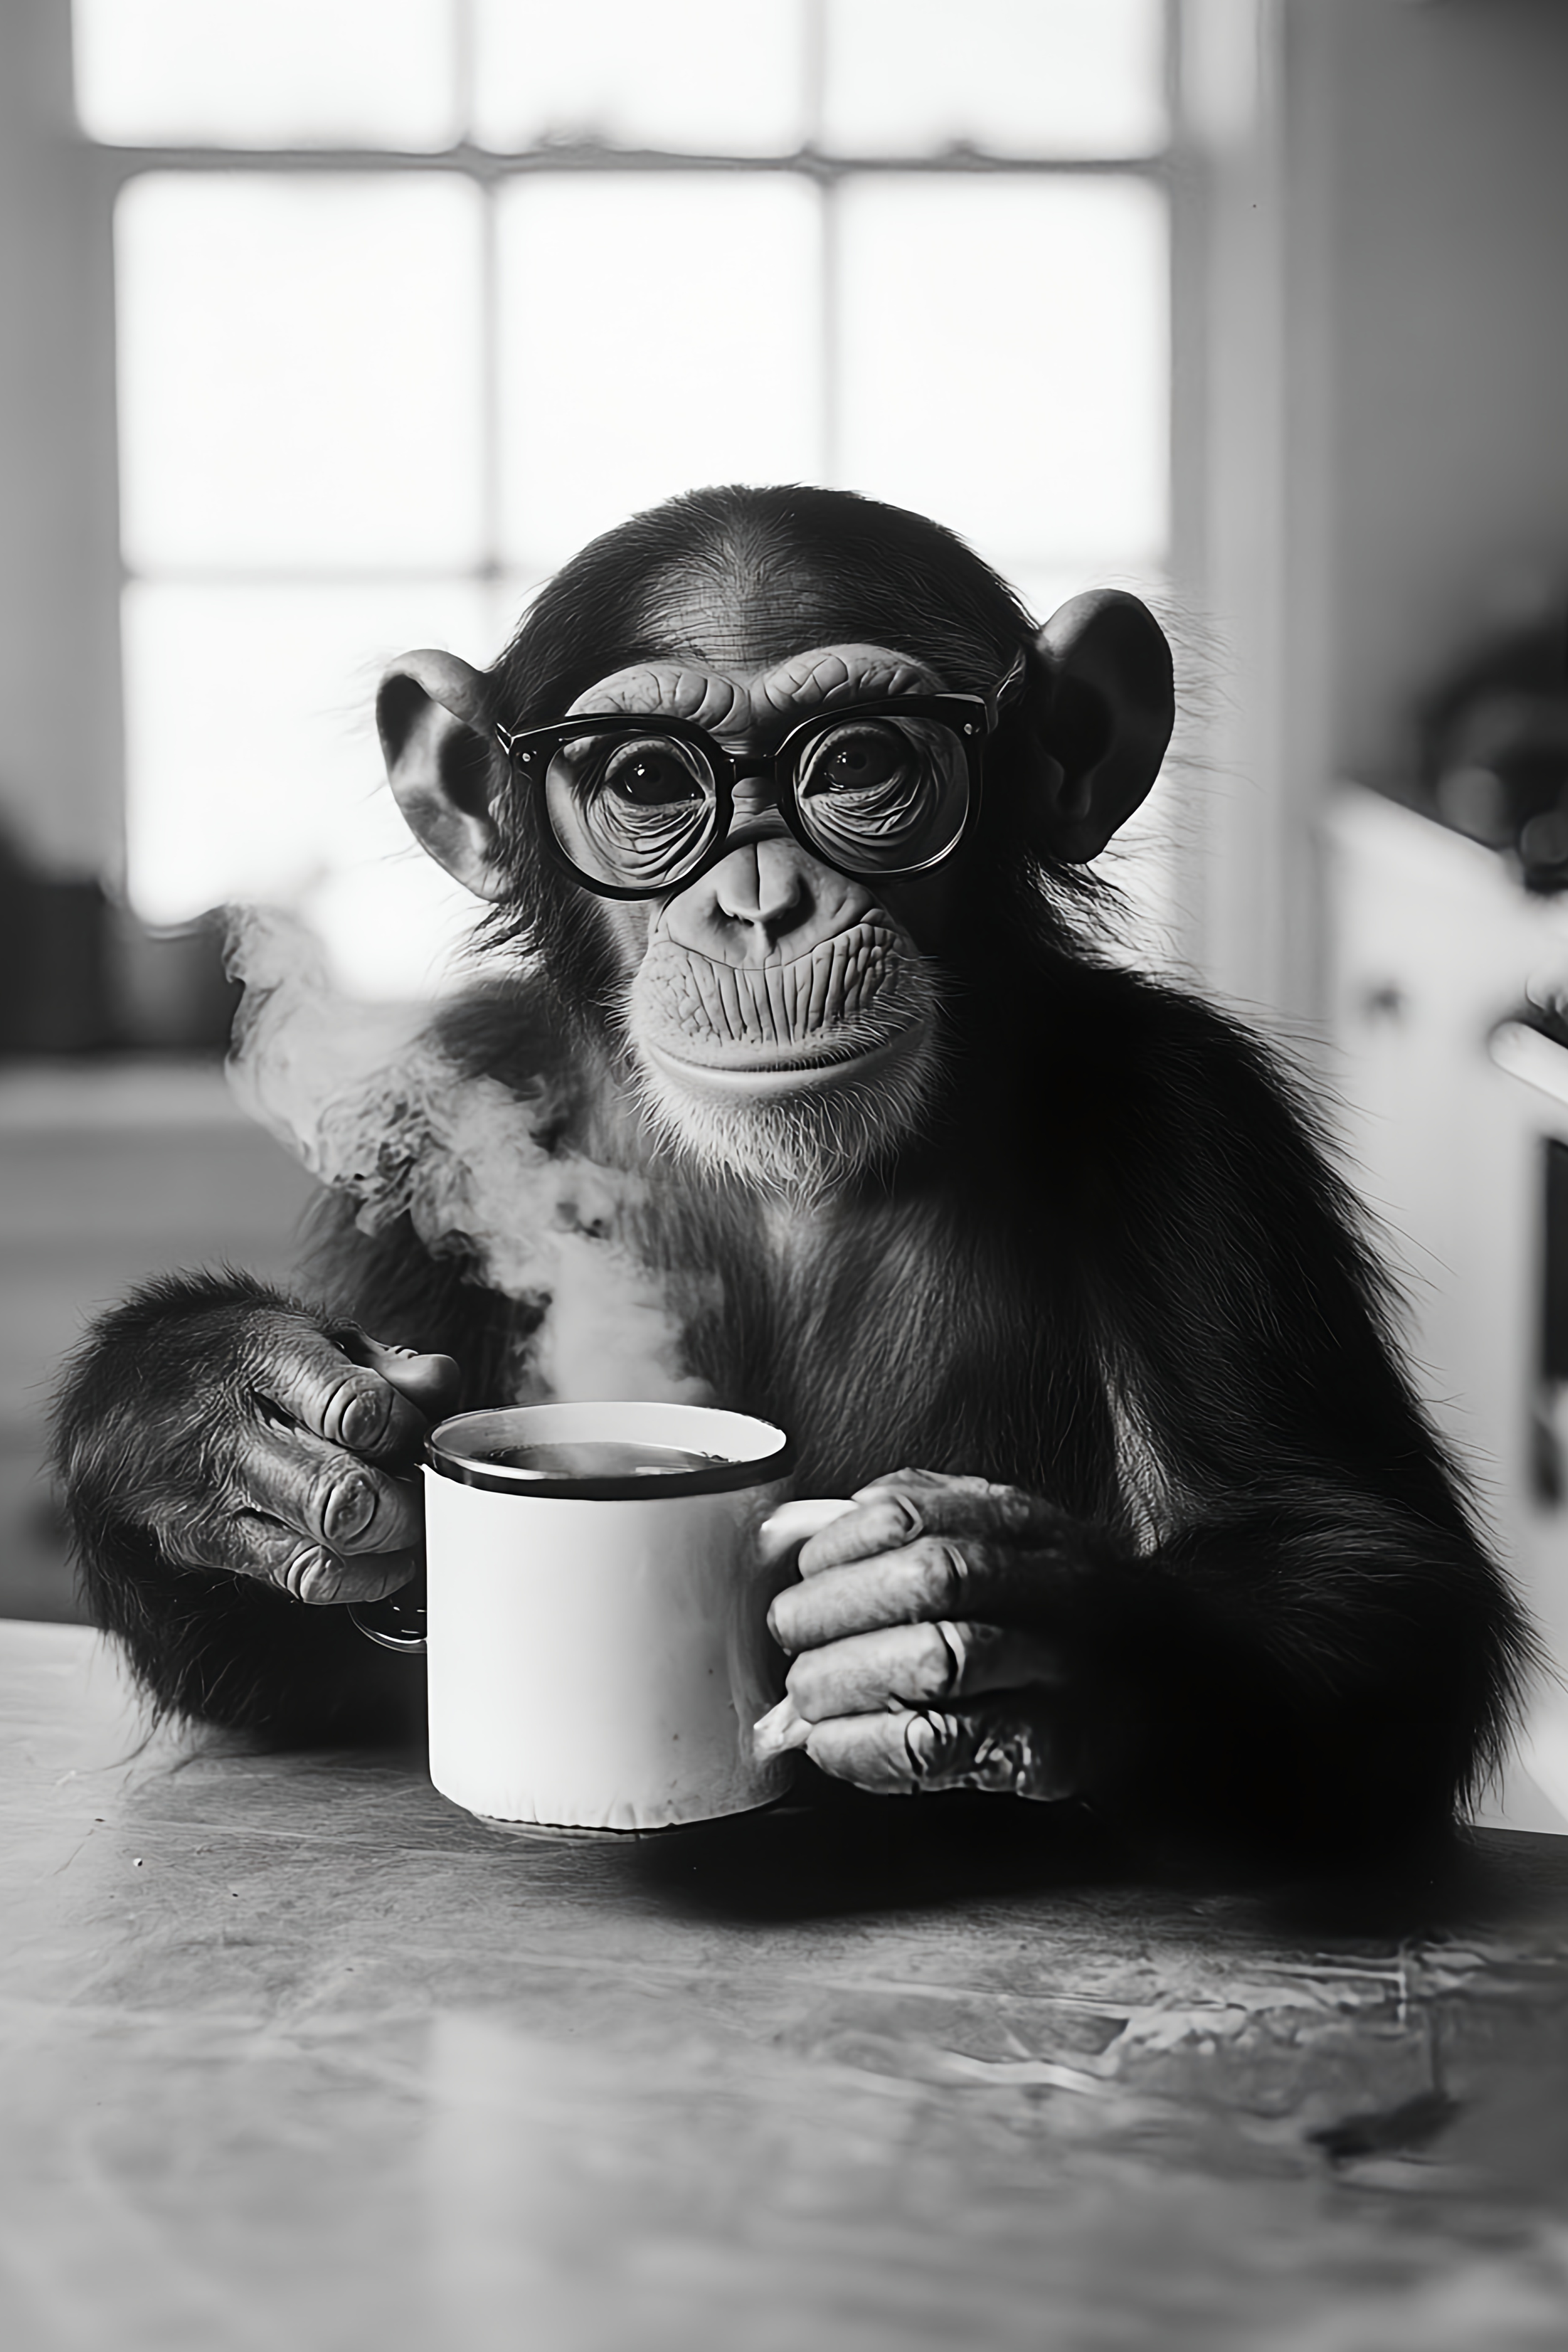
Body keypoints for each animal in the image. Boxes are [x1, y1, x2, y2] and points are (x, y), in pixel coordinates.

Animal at [53, 485, 1533, 1861]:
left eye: (860, 761)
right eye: (649, 782)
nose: (762, 906)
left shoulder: (1191, 1120)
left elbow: (1354, 1565)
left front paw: (994, 1610)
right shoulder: (438, 1116)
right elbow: (313, 1670)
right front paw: (215, 1417)